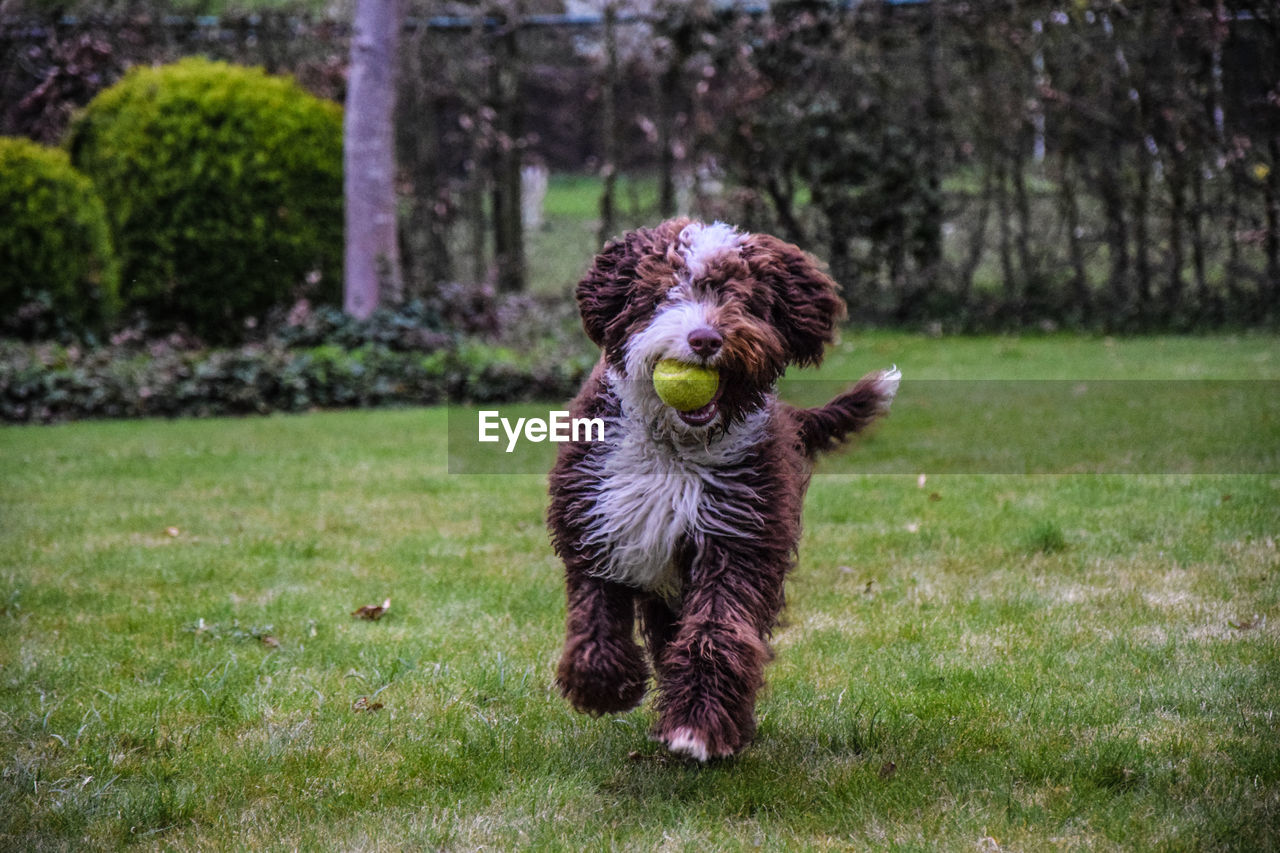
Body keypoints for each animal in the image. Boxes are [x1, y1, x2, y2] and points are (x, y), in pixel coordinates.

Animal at [547, 217, 901, 758]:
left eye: (742, 298)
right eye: (661, 293)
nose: (705, 339)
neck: (676, 447)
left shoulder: (738, 536)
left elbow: (717, 629)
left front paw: (697, 726)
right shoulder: (593, 514)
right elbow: (595, 607)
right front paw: (603, 682)